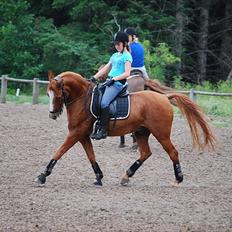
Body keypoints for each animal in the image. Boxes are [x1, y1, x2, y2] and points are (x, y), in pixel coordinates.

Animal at [35, 71, 216, 187]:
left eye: (58, 95)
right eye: (48, 94)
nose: (52, 114)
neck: (83, 100)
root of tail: (165, 97)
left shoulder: (75, 133)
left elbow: (59, 152)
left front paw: (42, 176)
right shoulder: (83, 135)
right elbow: (91, 156)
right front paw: (99, 177)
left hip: (161, 134)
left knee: (173, 152)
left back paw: (178, 179)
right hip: (141, 132)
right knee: (145, 153)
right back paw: (126, 176)